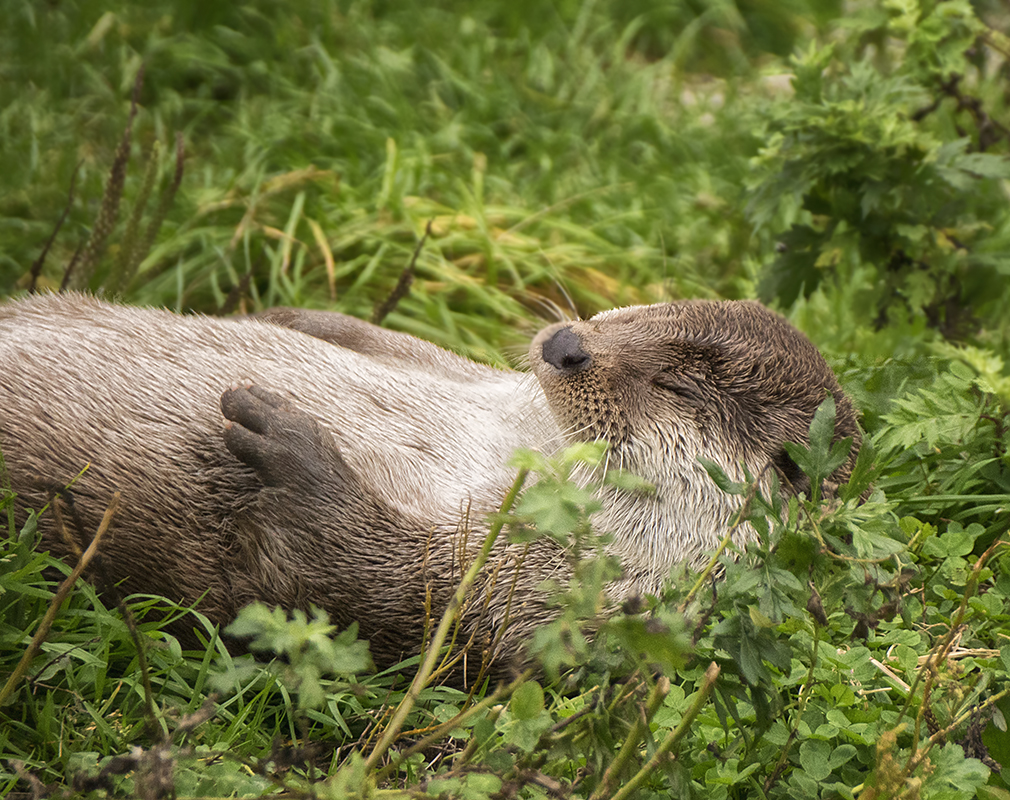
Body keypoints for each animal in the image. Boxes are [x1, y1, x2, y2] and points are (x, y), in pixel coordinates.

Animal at [0, 292, 860, 682]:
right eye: (639, 313)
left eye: (678, 386)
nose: (568, 342)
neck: (522, 451)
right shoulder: (482, 382)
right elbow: (415, 349)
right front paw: (295, 316)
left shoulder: (540, 609)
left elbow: (380, 594)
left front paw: (295, 452)